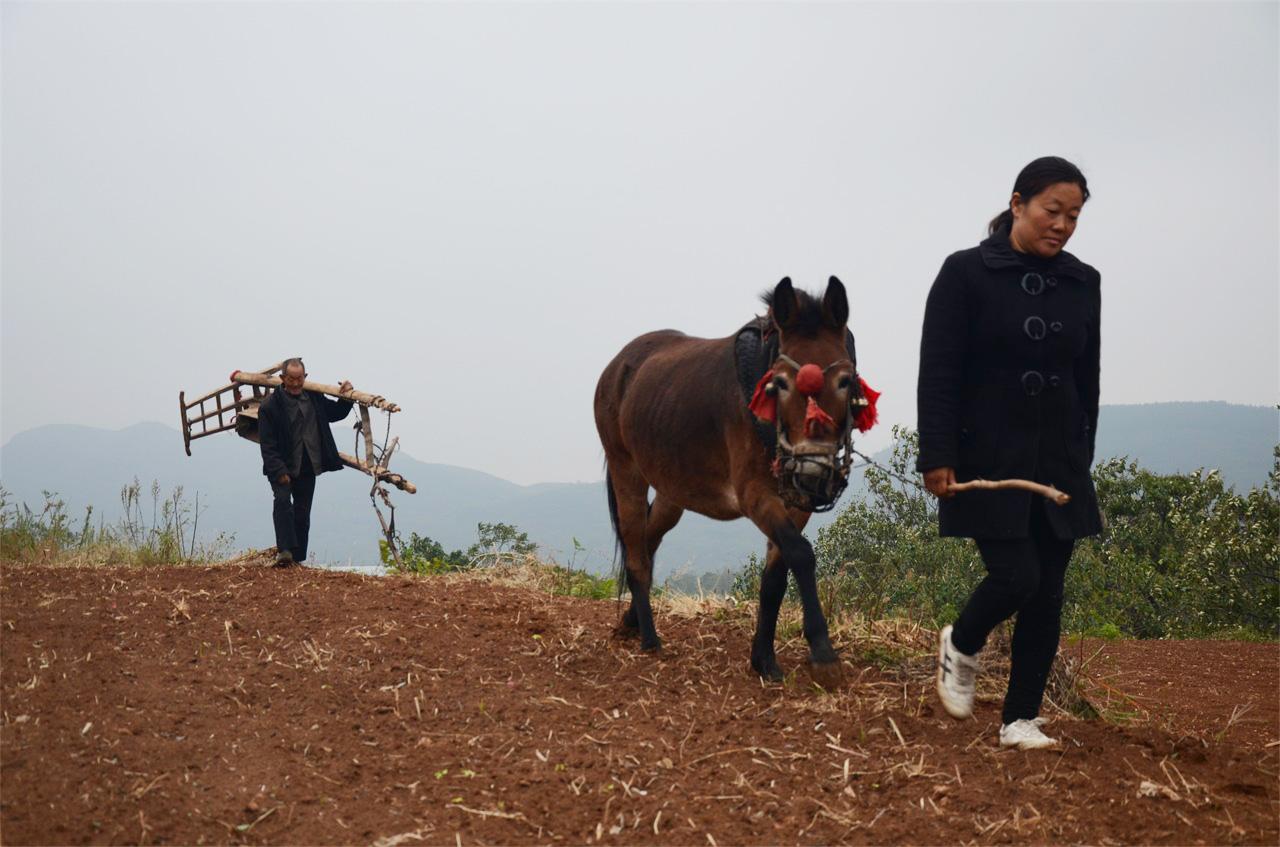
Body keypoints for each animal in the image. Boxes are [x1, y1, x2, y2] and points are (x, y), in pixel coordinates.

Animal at [593, 278, 875, 685]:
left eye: (845, 381)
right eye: (780, 383)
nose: (811, 471)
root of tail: (619, 363)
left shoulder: (795, 504)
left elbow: (776, 577)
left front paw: (764, 660)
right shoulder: (754, 495)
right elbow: (801, 554)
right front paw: (823, 652)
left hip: (671, 490)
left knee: (647, 540)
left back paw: (630, 623)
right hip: (625, 469)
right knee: (635, 551)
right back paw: (649, 638)